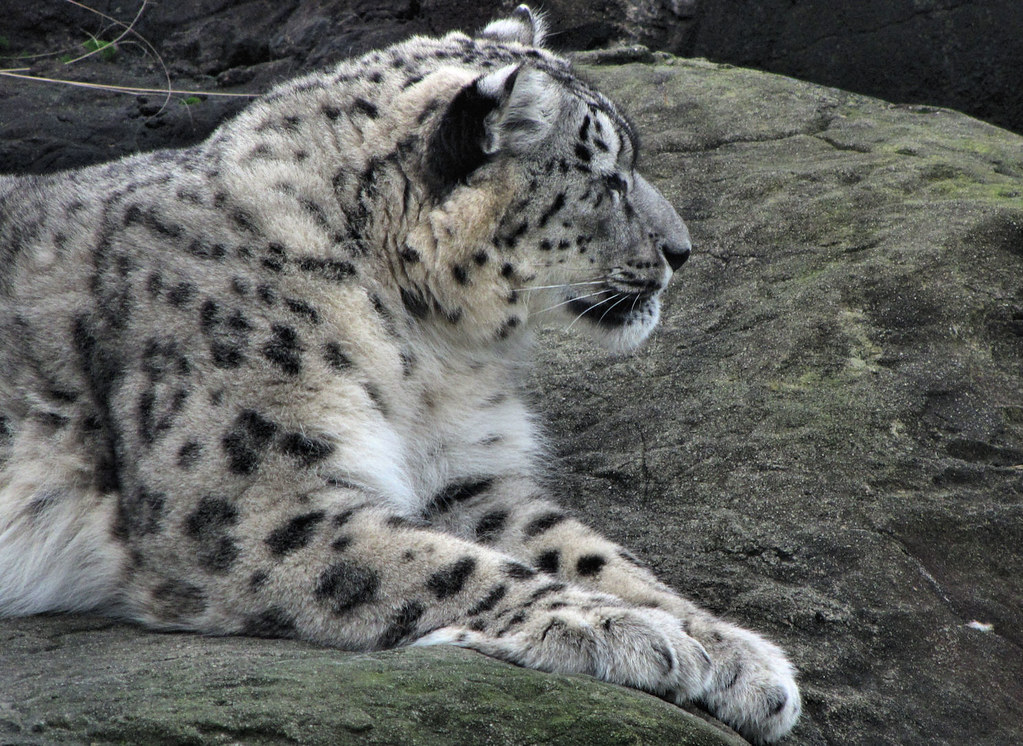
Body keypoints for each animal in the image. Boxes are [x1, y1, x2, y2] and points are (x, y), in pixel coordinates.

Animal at [0, 7, 800, 743]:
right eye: (606, 178)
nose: (681, 250)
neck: (430, 358)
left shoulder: (466, 473)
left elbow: (586, 552)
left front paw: (737, 655)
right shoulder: (254, 505)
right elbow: (447, 566)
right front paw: (630, 634)